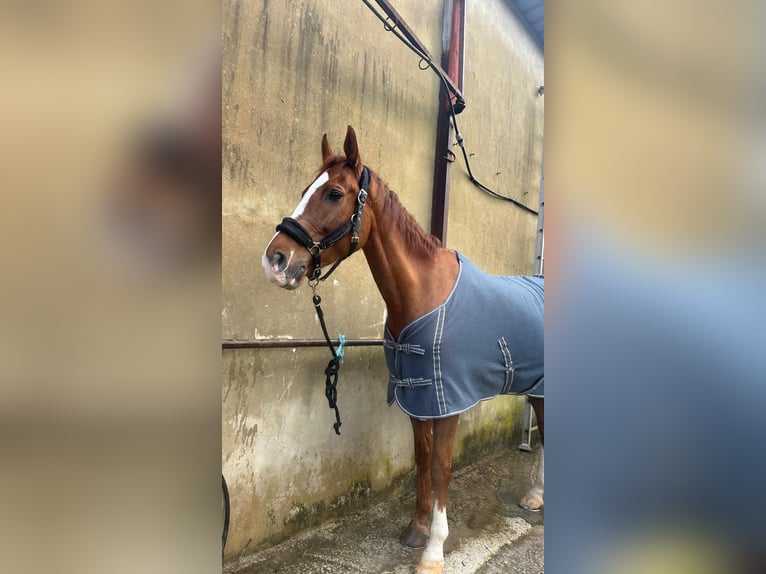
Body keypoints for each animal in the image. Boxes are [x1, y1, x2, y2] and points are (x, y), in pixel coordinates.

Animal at [264, 127, 544, 574]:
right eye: (306, 189)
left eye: (334, 194)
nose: (275, 260)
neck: (423, 295)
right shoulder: (416, 396)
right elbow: (422, 458)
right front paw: (417, 529)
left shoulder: (449, 402)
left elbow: (442, 466)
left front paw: (434, 551)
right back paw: (535, 496)